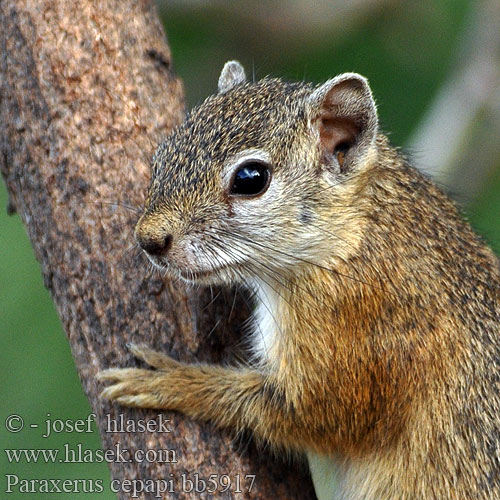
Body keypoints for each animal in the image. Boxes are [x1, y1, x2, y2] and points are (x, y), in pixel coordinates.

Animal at [98, 60, 500, 498]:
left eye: (250, 178)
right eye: (161, 156)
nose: (149, 239)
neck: (358, 234)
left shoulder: (359, 336)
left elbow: (314, 415)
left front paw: (172, 380)